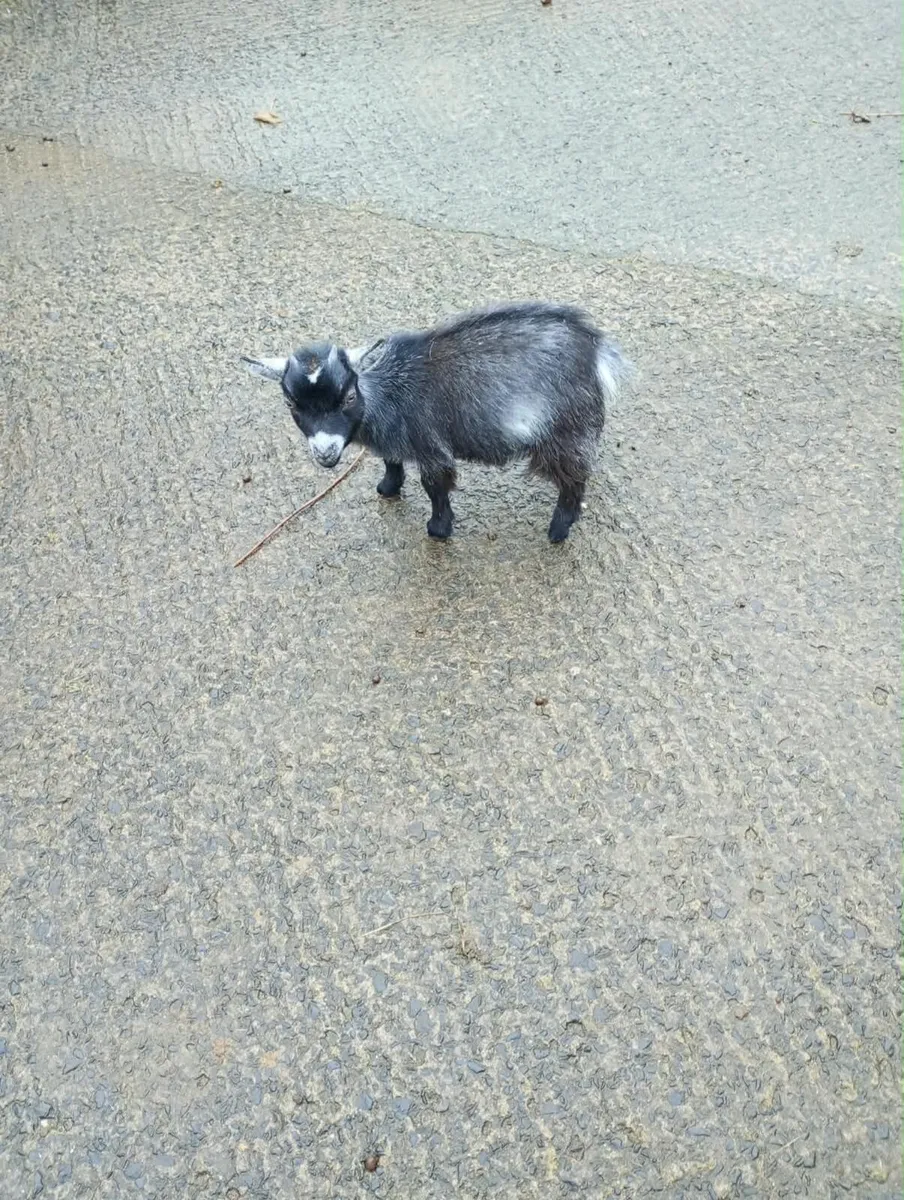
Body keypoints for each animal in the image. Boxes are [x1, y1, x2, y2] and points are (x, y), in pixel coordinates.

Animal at [242, 302, 628, 542]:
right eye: (290, 402)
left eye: (349, 397)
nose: (326, 454)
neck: (386, 395)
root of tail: (595, 350)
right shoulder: (394, 439)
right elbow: (391, 460)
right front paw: (387, 487)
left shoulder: (430, 446)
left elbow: (435, 485)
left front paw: (438, 529)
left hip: (563, 429)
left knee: (574, 477)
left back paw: (559, 529)